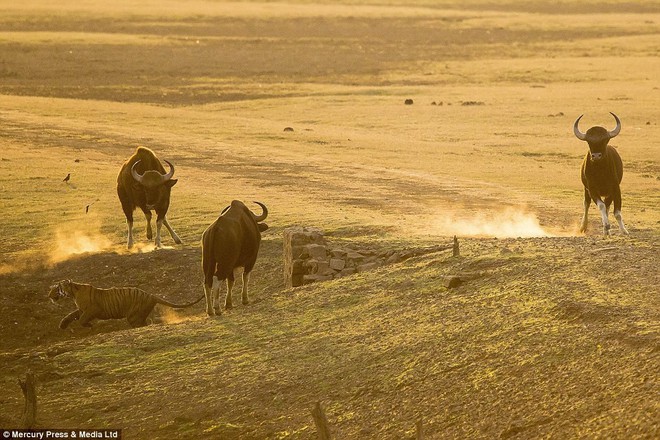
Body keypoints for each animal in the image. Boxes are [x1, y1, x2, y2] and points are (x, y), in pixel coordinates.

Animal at [49, 280, 205, 328]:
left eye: (57, 288)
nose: (49, 295)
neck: (73, 293)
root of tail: (151, 295)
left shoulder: (92, 309)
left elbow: (81, 319)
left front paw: (88, 325)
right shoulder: (81, 309)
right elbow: (71, 315)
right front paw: (62, 325)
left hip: (133, 316)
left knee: (141, 324)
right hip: (137, 316)